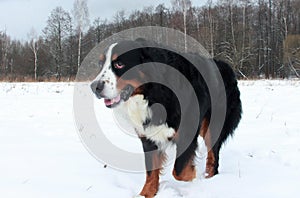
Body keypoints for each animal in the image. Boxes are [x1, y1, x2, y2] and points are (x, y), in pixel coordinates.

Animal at [90, 38, 243, 198]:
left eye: (119, 64)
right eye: (100, 65)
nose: (94, 87)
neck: (153, 93)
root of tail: (224, 65)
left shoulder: (187, 133)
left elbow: (179, 171)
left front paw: (192, 179)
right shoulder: (148, 138)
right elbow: (151, 171)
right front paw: (146, 193)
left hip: (213, 126)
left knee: (213, 156)